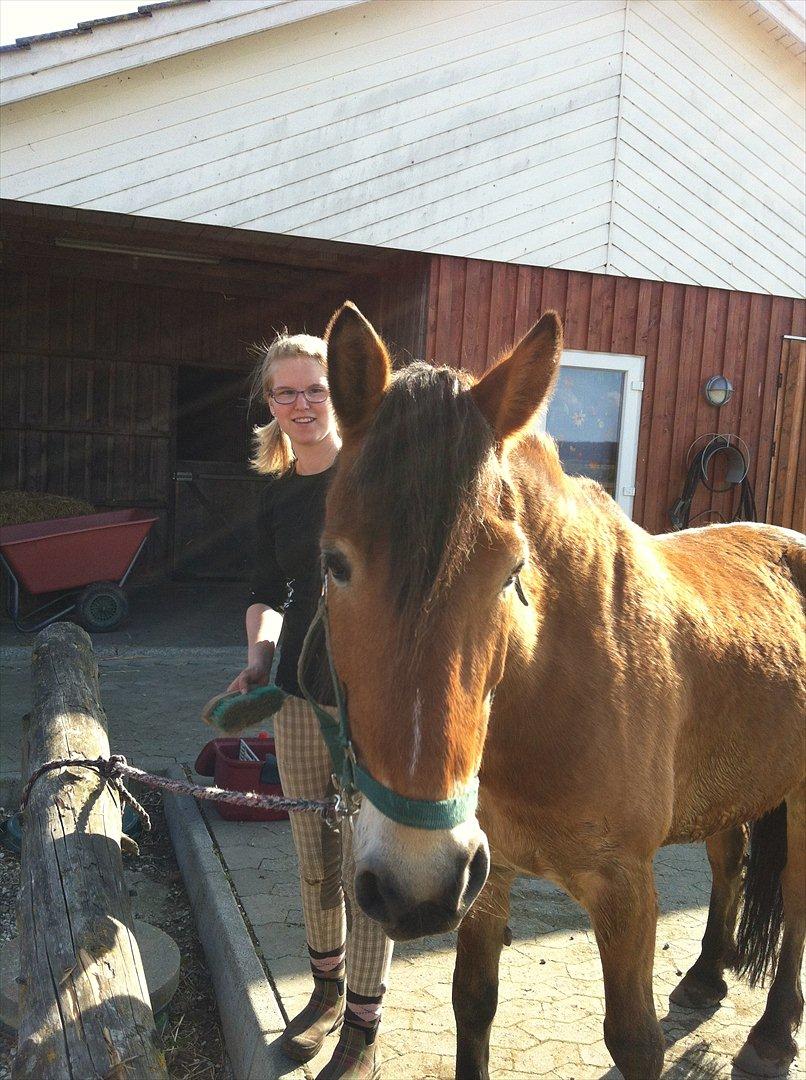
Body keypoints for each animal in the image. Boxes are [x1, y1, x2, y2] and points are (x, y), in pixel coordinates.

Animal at [319, 301, 806, 1080]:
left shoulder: (623, 886)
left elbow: (635, 1040)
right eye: (336, 563)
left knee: (795, 900)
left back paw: (775, 1033)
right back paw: (706, 976)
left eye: (511, 570)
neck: (548, 683)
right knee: (729, 861)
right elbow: (473, 1006)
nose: (413, 883)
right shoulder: (485, 876)